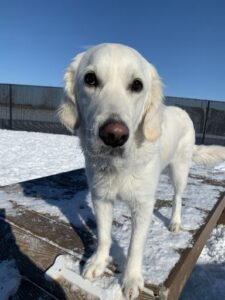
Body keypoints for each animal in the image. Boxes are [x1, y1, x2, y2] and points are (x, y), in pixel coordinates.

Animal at [58, 43, 225, 298]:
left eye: (137, 85)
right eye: (90, 79)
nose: (114, 135)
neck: (120, 166)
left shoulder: (143, 204)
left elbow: (135, 245)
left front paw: (132, 280)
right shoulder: (101, 197)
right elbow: (104, 236)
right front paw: (98, 262)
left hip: (179, 170)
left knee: (178, 197)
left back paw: (175, 222)